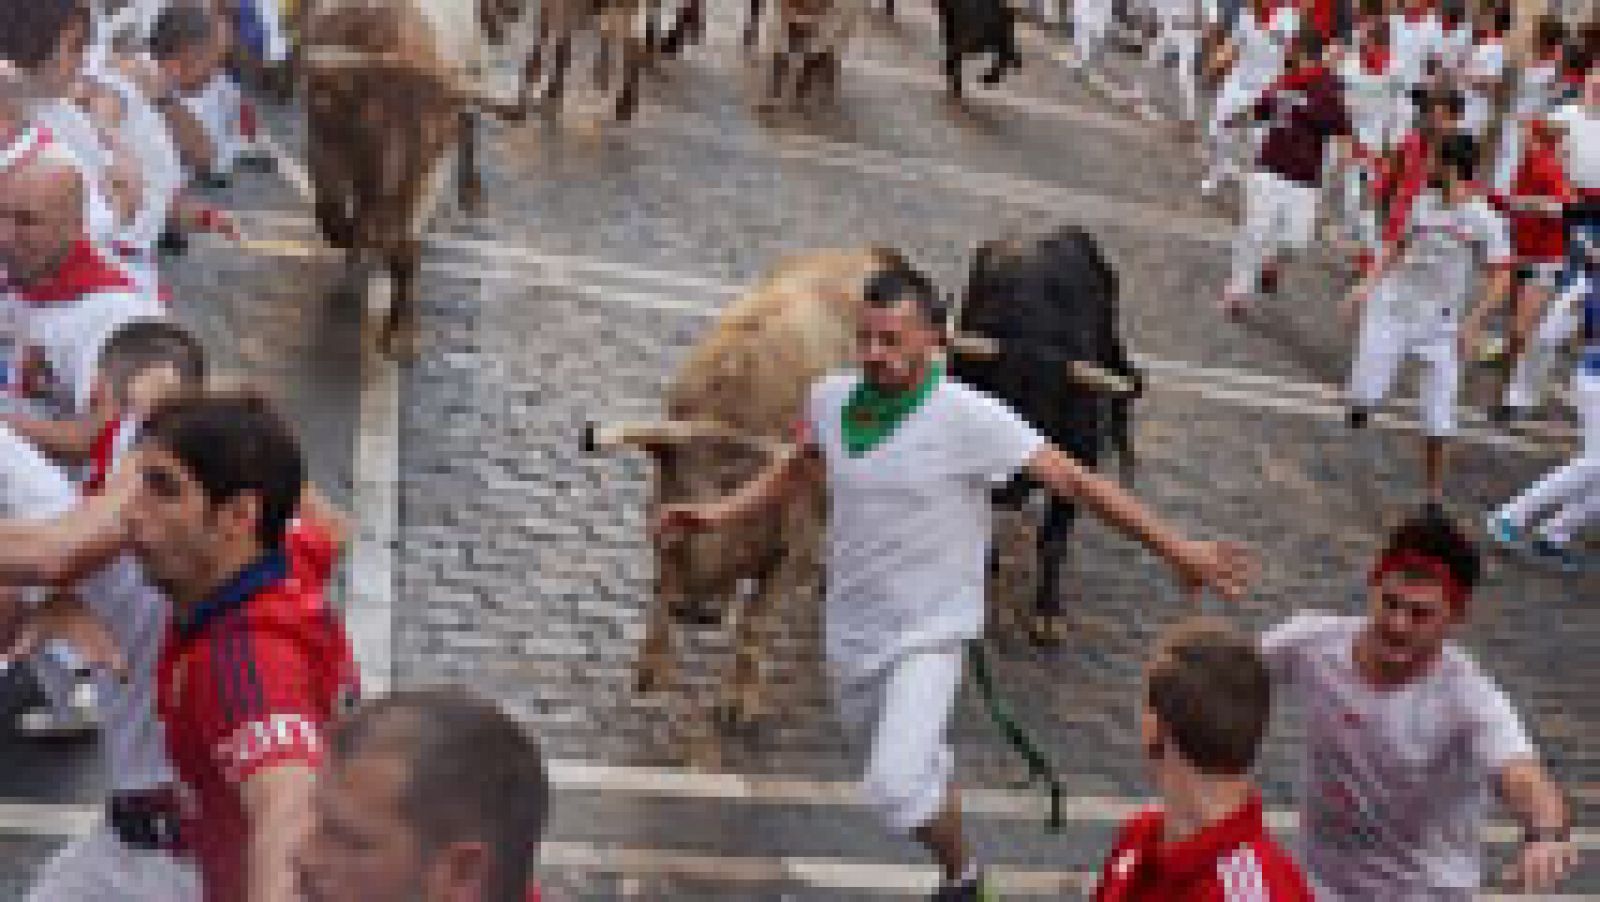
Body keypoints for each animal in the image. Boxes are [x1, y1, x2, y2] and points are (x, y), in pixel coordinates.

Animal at [947, 225, 1139, 620]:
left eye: (1048, 408)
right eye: (996, 394)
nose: (1007, 489)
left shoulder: (1081, 461)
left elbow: (1053, 539)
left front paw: (1047, 610)